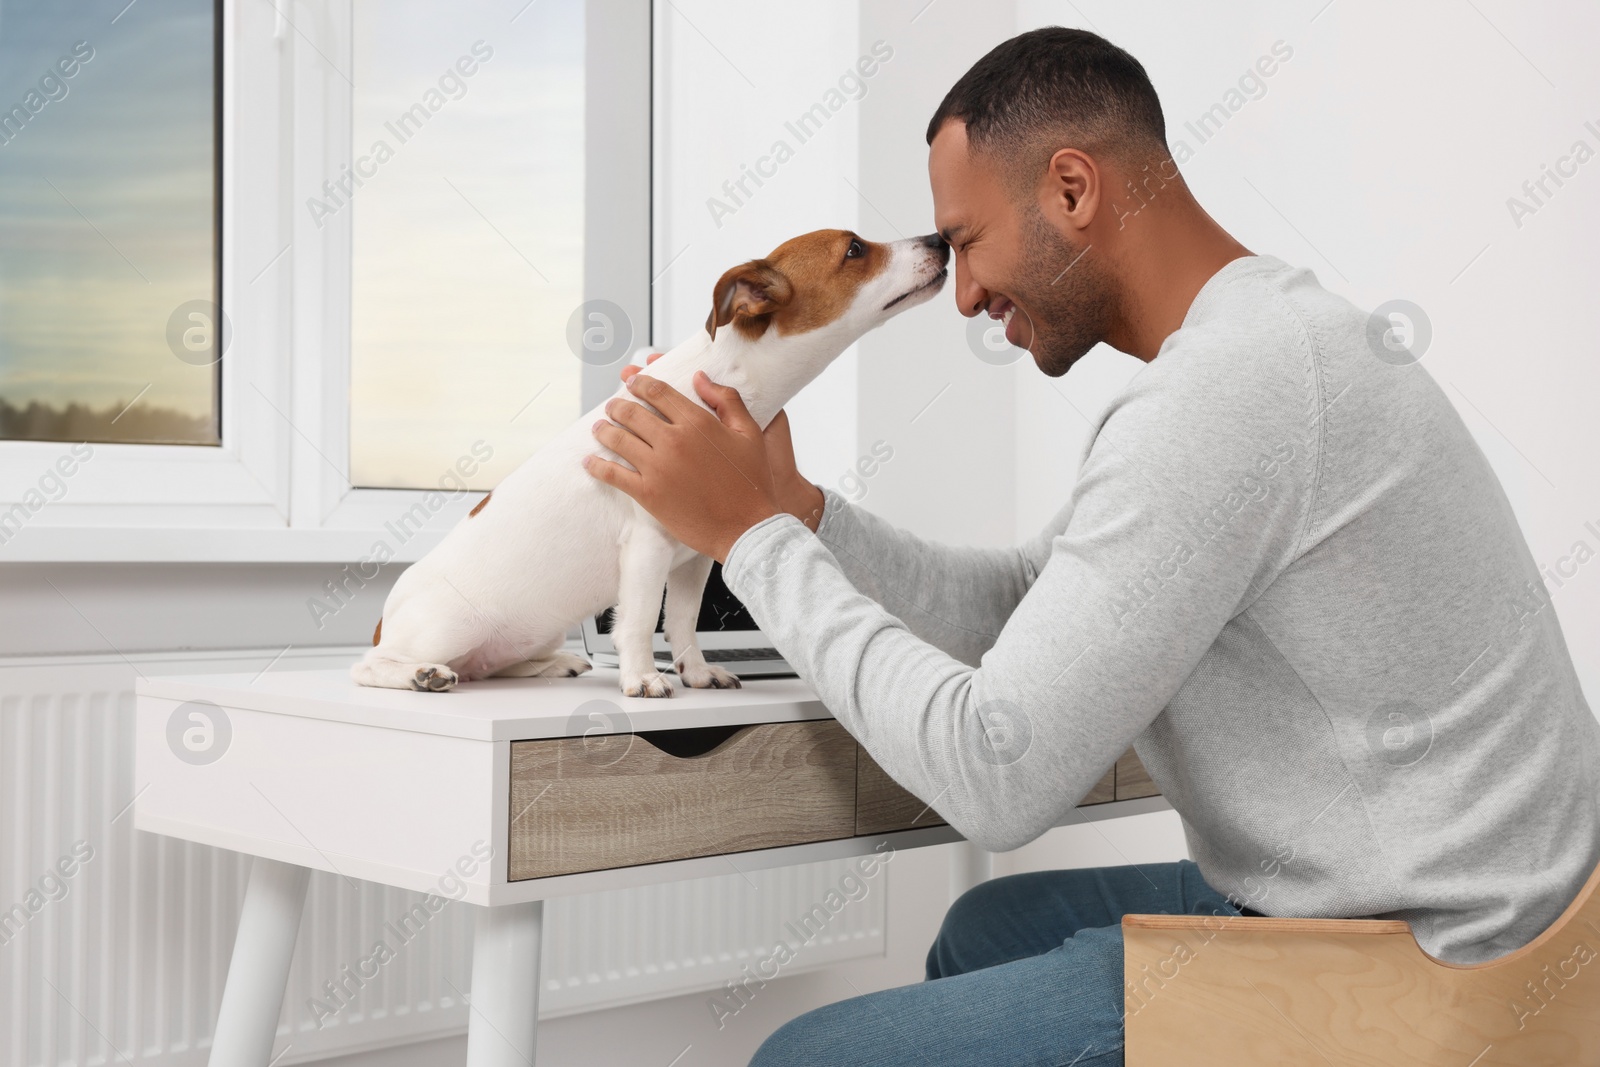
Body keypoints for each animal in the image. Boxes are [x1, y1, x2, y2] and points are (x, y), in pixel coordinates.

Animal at [352, 228, 947, 697]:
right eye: (854, 249)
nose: (941, 239)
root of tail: (384, 623)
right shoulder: (646, 549)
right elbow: (639, 622)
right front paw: (641, 678)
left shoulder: (693, 559)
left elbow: (681, 622)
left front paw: (698, 673)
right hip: (446, 627)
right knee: (372, 667)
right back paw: (421, 674)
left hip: (529, 632)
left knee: (494, 666)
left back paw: (556, 663)